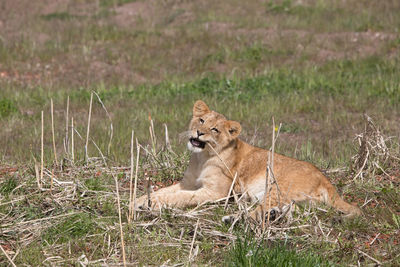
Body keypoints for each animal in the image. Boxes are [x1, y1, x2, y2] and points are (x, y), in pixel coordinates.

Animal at [136, 100, 360, 222]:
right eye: (201, 120)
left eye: (214, 129)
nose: (199, 132)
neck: (202, 157)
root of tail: (326, 180)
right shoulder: (188, 183)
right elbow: (163, 191)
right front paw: (138, 202)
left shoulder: (215, 193)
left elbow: (180, 197)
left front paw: (152, 204)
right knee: (290, 209)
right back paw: (271, 216)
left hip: (276, 186)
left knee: (260, 211)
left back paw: (233, 220)